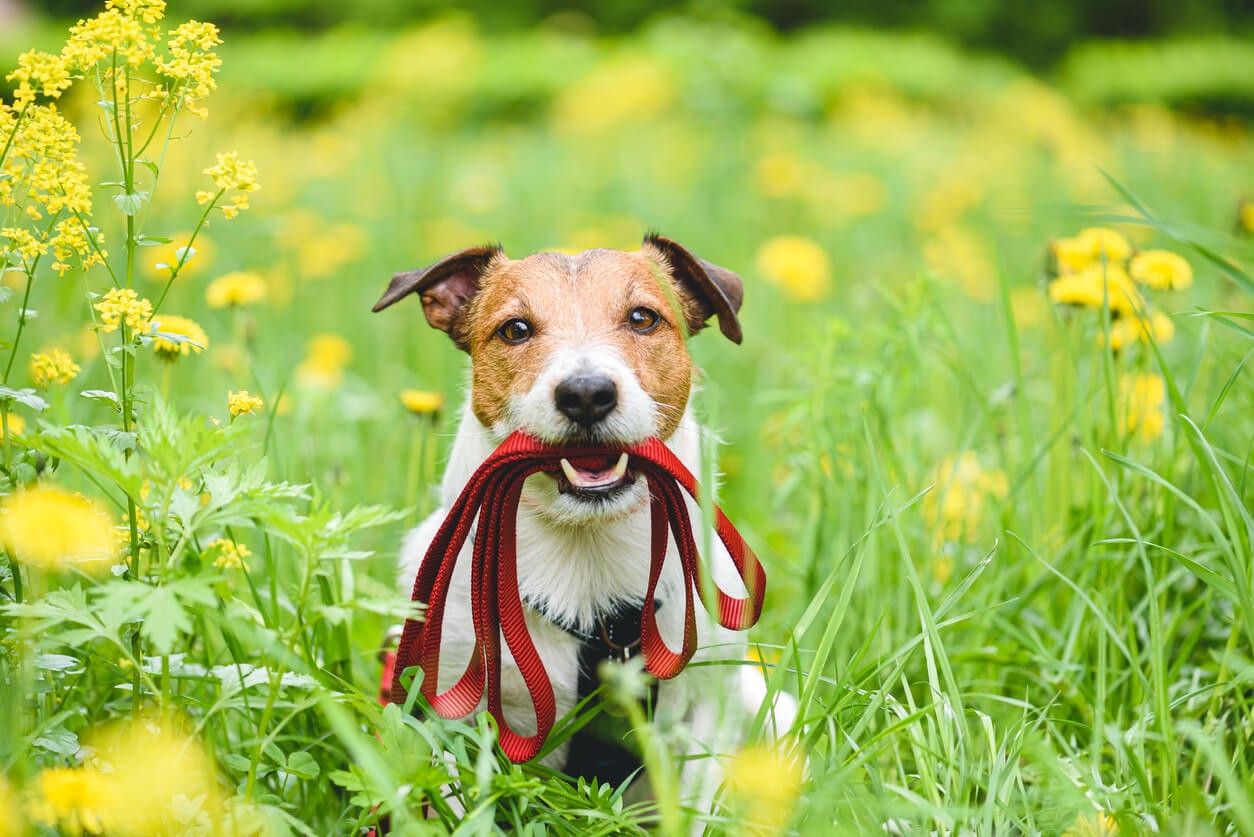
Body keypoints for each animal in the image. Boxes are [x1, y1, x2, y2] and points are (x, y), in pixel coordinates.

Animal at [371, 235, 792, 818]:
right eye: (515, 329)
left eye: (642, 318)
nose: (587, 393)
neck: (586, 551)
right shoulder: (449, 707)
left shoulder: (707, 707)